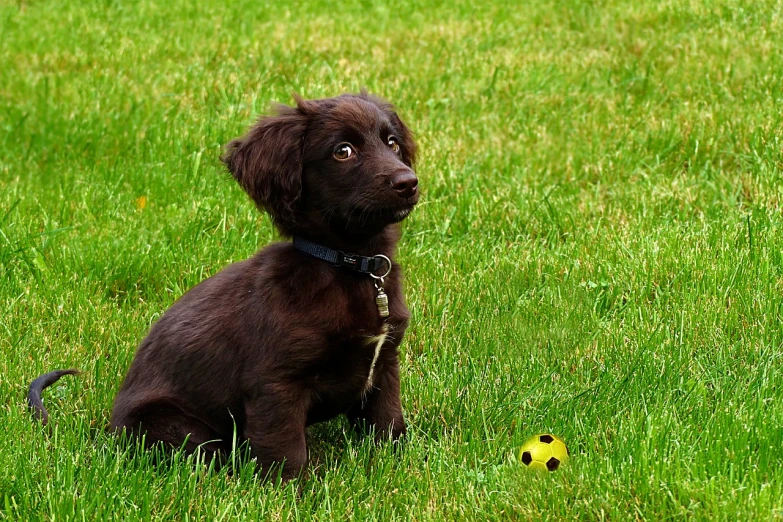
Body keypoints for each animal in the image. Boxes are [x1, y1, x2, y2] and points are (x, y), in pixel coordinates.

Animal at [27, 93, 420, 480]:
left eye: (392, 143)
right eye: (343, 151)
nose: (409, 182)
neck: (350, 265)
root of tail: (107, 437)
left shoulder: (384, 364)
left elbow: (388, 426)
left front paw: (395, 468)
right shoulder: (276, 384)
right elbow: (286, 453)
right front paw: (291, 493)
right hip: (175, 427)